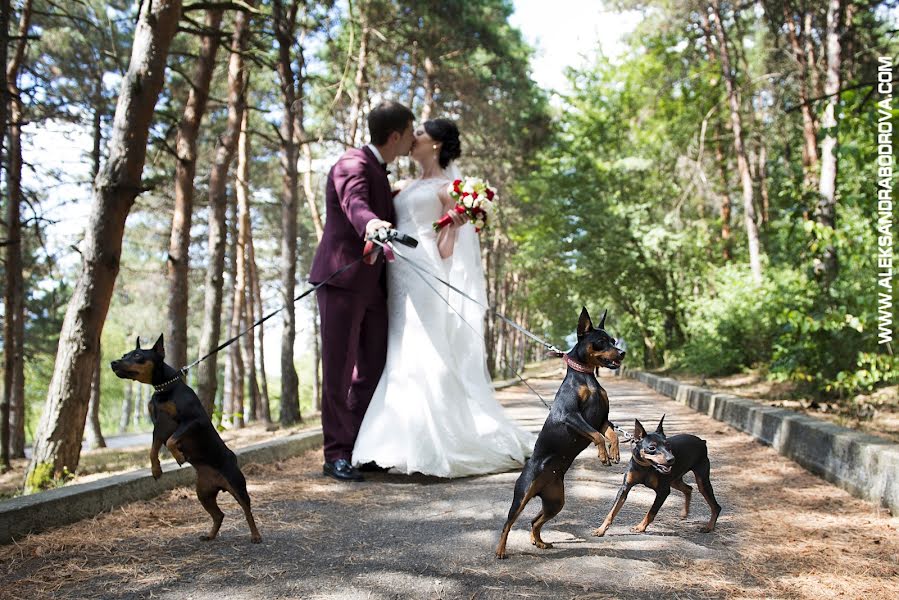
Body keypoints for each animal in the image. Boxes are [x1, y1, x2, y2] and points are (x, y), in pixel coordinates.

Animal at [110, 332, 262, 544]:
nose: (113, 362)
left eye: (138, 355)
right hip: (203, 493)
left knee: (247, 509)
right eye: (125, 355)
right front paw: (156, 469)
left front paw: (179, 456)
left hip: (237, 485)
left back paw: (255, 535)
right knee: (219, 515)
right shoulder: (159, 427)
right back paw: (210, 535)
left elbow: (172, 440)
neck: (164, 389)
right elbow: (153, 449)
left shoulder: (192, 421)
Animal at [492, 308, 624, 560]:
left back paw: (539, 542)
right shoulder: (570, 415)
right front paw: (603, 455)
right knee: (507, 523)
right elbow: (597, 436)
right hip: (522, 495)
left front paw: (614, 453)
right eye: (601, 341)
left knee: (534, 521)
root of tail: (541, 487)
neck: (586, 377)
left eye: (613, 340)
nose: (622, 353)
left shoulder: (602, 419)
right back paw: (501, 550)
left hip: (556, 501)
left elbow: (612, 434)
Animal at [592, 414, 724, 536]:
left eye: (668, 445)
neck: (645, 467)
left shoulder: (663, 491)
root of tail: (702, 441)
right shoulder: (625, 488)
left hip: (701, 480)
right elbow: (612, 512)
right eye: (652, 447)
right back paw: (685, 513)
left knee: (715, 506)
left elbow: (651, 512)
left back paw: (709, 527)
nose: (671, 459)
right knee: (688, 488)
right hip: (675, 480)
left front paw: (640, 527)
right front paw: (601, 529)